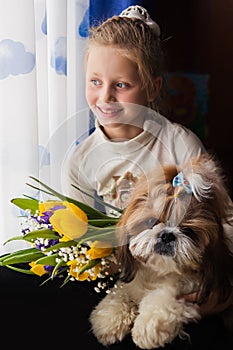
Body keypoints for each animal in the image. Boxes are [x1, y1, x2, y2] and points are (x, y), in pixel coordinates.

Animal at [89, 154, 233, 350]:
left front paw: (147, 328)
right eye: (151, 222)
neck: (157, 274)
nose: (167, 235)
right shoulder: (132, 282)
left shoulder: (188, 289)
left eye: (188, 231)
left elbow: (163, 299)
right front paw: (109, 319)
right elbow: (120, 294)